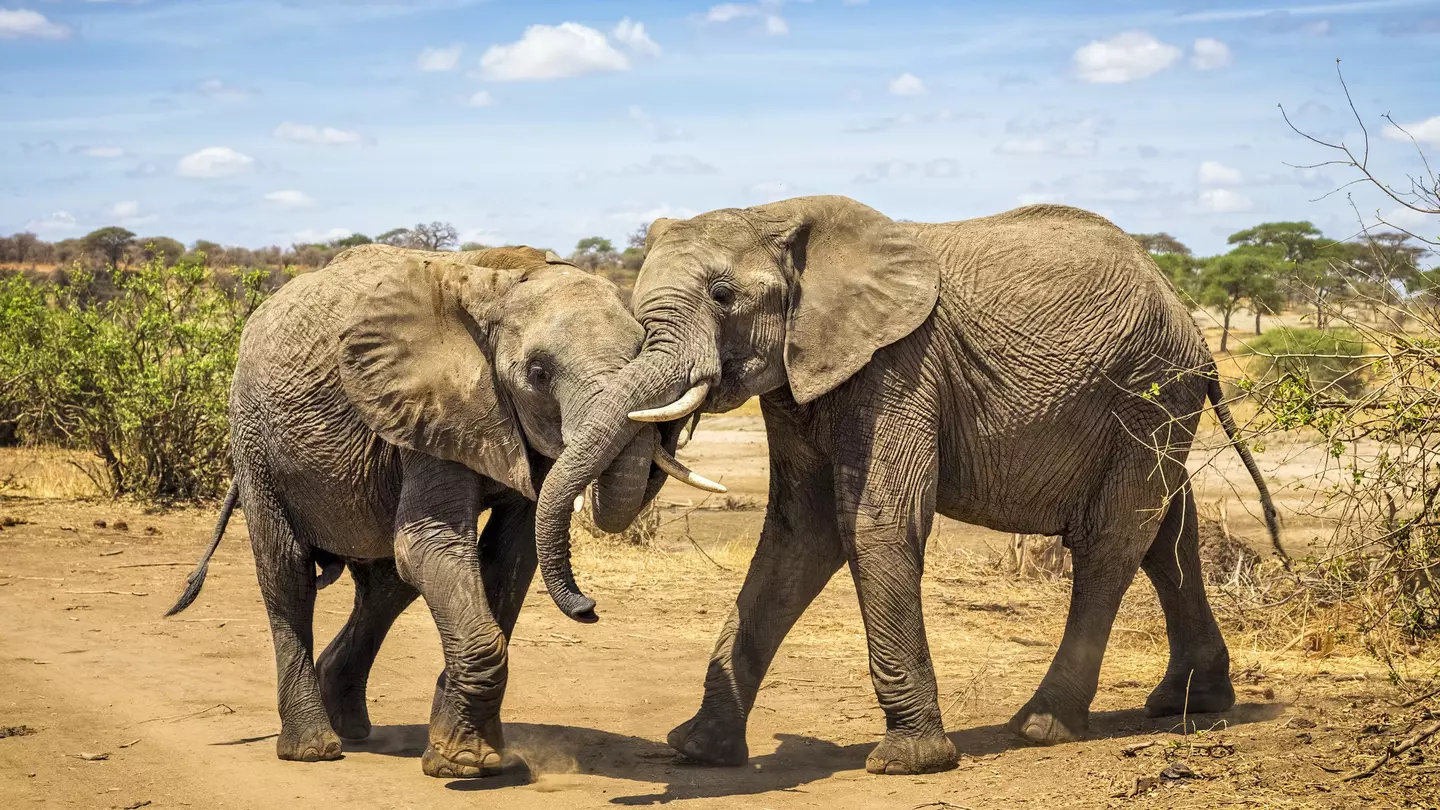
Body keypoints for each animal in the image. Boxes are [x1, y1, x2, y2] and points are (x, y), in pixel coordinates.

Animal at [165, 244, 718, 777]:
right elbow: (431, 545)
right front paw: (468, 765)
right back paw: (314, 749)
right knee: (288, 574)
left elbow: (509, 559)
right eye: (539, 373)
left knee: (387, 586)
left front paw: (470, 757)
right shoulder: (431, 406)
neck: (503, 283)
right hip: (254, 441)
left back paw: (352, 728)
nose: (590, 609)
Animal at [524, 196, 1282, 776]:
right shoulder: (803, 377)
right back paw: (1190, 703)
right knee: (1167, 534)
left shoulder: (898, 365)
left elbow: (874, 523)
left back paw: (1041, 726)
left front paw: (909, 762)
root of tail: (1184, 313)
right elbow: (798, 537)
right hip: (1154, 403)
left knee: (1111, 541)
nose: (588, 608)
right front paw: (699, 751)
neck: (779, 214)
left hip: (1149, 388)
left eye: (722, 296)